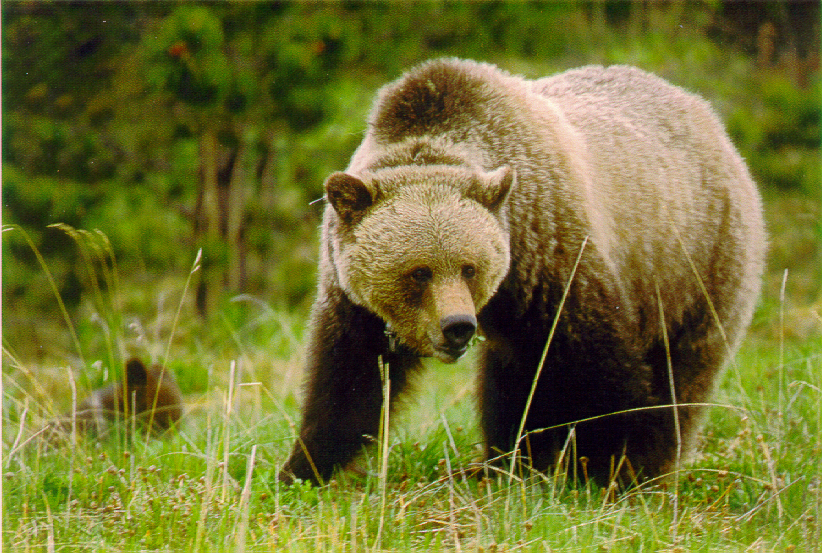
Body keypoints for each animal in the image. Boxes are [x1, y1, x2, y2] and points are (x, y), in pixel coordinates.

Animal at [282, 58, 768, 486]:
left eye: (469, 267)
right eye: (419, 271)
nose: (457, 326)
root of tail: (708, 117)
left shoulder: (551, 258)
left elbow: (596, 371)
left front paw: (610, 466)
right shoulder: (355, 300)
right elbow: (351, 381)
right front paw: (304, 467)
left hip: (694, 263)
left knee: (679, 373)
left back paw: (647, 463)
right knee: (509, 381)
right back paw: (505, 463)